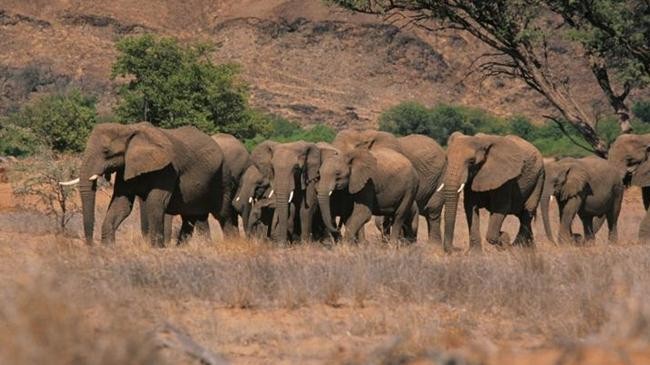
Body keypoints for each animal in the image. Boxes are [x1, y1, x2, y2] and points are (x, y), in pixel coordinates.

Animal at [61, 121, 223, 245]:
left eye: (106, 151)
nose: (91, 247)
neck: (128, 129)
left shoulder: (167, 169)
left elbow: (155, 203)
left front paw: (157, 249)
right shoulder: (126, 168)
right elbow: (121, 204)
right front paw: (108, 249)